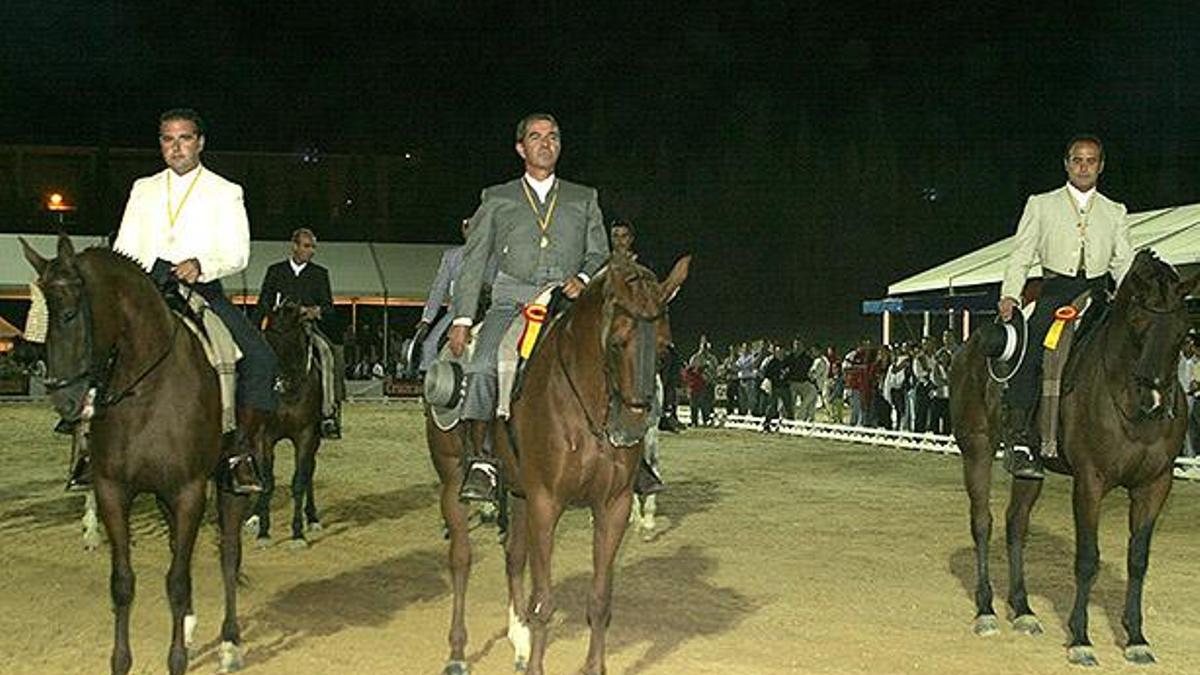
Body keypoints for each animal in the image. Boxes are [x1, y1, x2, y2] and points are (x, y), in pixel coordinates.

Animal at [23, 235, 250, 672]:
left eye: (70, 314)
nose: (66, 401)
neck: (146, 391)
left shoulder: (189, 491)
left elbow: (177, 582)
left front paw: (177, 661)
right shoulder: (113, 491)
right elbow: (123, 583)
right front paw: (121, 661)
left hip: (228, 481)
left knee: (228, 554)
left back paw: (230, 642)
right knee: (181, 550)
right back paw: (192, 627)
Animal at [250, 300, 324, 547]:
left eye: (291, 341)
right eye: (267, 339)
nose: (278, 384)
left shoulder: (306, 435)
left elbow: (299, 481)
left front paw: (298, 534)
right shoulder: (263, 437)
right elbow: (267, 481)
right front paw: (263, 532)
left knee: (310, 470)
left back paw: (313, 518)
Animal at [427, 252, 691, 672]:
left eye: (665, 348)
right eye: (617, 342)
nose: (633, 425)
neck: (584, 405)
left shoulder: (611, 506)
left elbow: (599, 600)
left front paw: (592, 665)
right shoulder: (546, 503)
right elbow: (544, 601)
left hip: (518, 493)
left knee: (513, 558)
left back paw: (518, 642)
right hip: (453, 481)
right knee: (462, 561)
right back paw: (457, 652)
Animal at [950, 247, 1195, 662]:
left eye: (1182, 330)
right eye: (1137, 322)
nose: (1154, 400)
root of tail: (971, 344)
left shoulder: (1155, 485)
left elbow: (1138, 559)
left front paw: (1136, 638)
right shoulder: (1090, 482)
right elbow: (1087, 559)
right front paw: (1081, 638)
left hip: (1029, 471)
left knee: (1016, 524)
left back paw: (1024, 610)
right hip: (977, 448)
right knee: (983, 522)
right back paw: (986, 611)